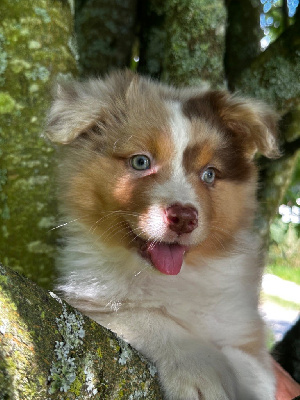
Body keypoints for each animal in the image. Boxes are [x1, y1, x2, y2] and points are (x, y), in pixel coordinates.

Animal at [46, 72, 278, 400]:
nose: (184, 218)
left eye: (209, 174)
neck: (171, 279)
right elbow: (147, 315)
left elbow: (252, 369)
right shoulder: (87, 303)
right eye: (140, 161)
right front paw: (202, 368)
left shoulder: (242, 328)